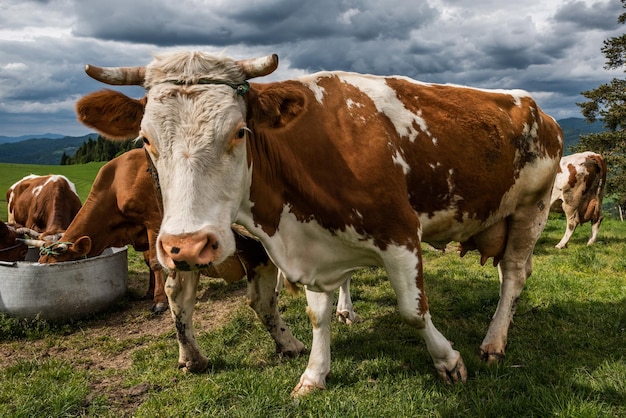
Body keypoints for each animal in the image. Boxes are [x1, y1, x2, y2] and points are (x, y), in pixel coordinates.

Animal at [77, 50, 560, 394]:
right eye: (146, 140)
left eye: (239, 132)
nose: (188, 246)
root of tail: (538, 109)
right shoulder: (311, 246)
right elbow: (316, 314)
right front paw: (314, 374)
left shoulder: (401, 234)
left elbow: (413, 309)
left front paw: (448, 361)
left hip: (531, 209)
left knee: (513, 275)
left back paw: (494, 342)